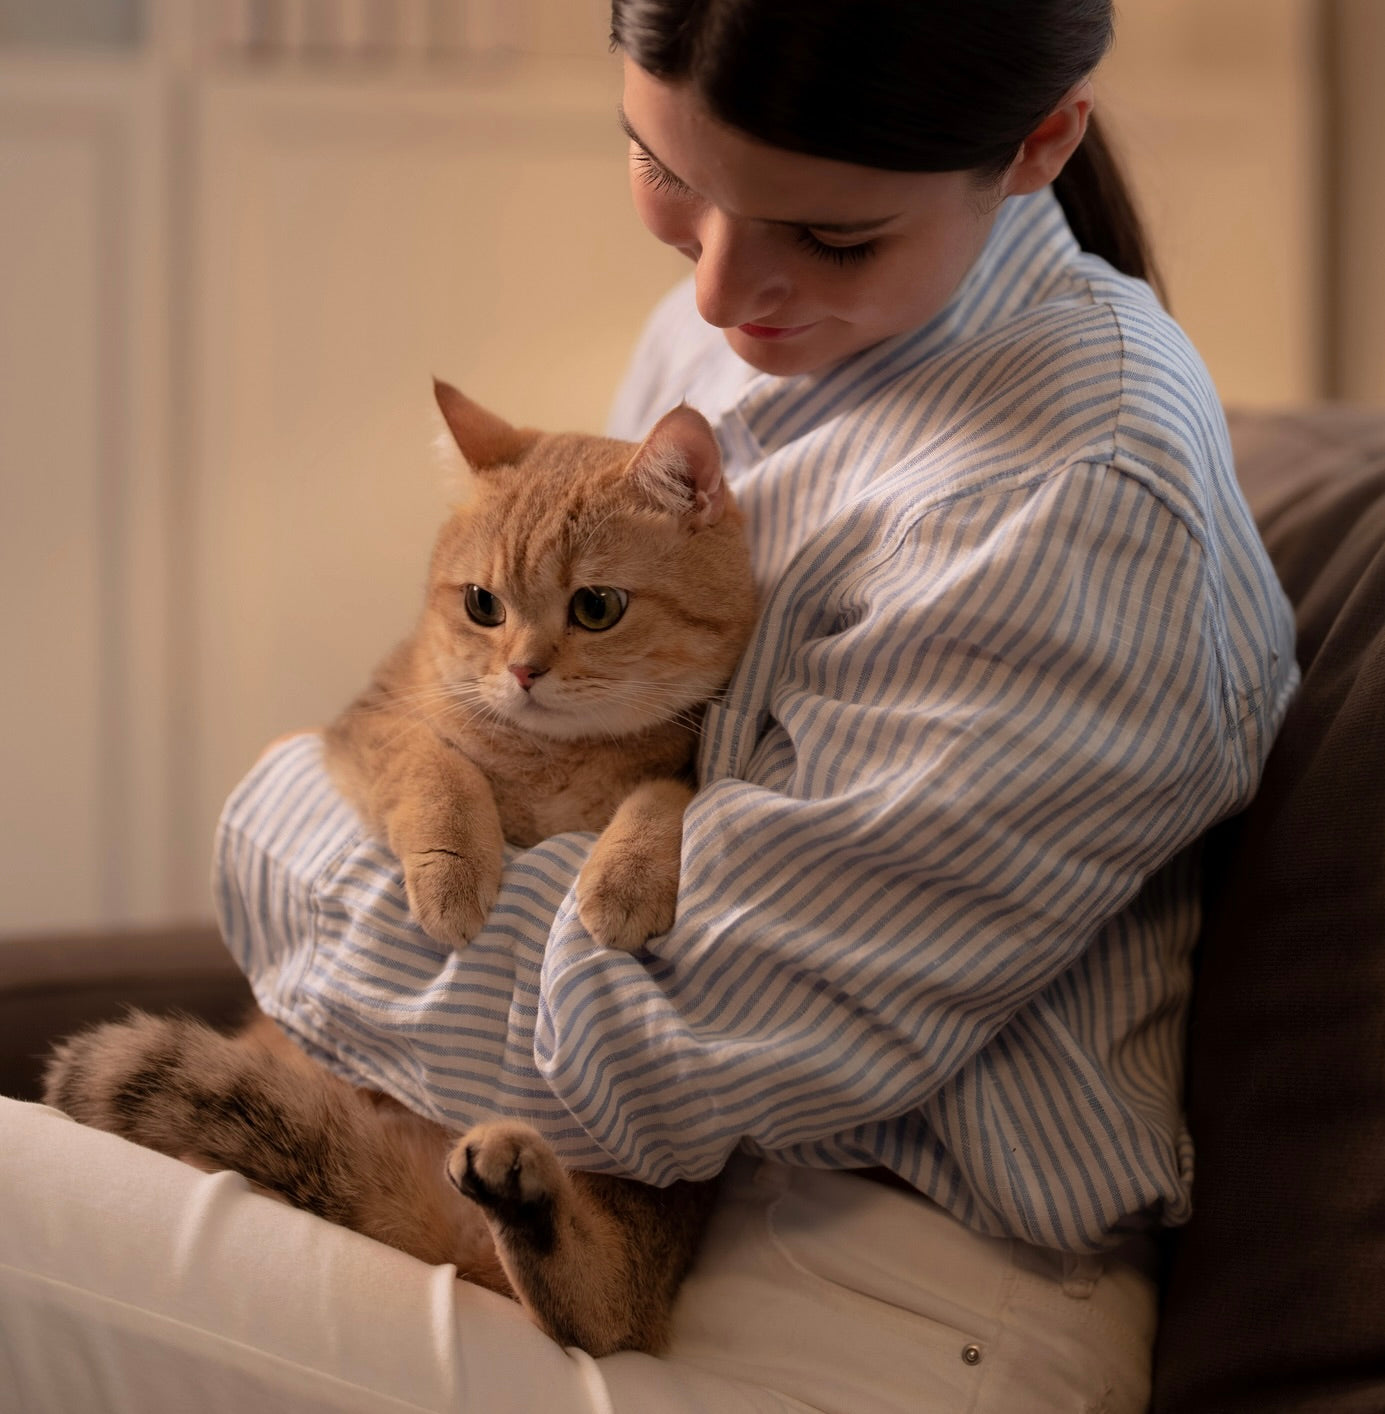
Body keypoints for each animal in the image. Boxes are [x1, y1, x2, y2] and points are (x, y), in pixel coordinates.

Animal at [43, 381, 758, 1351]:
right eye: (483, 604)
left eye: (597, 606)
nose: (523, 671)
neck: (549, 759)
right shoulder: (371, 727)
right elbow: (439, 771)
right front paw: (455, 873)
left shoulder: (681, 770)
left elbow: (662, 802)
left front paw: (622, 879)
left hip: (643, 1201)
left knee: (603, 1308)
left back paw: (518, 1190)